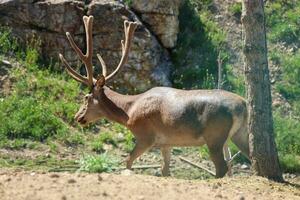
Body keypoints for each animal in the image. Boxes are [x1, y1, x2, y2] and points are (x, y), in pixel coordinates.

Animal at [58, 16, 248, 178]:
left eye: (86, 97)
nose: (77, 117)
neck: (129, 112)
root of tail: (243, 105)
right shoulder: (167, 143)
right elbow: (165, 171)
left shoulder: (146, 136)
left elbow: (127, 161)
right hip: (238, 134)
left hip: (214, 135)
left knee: (222, 167)